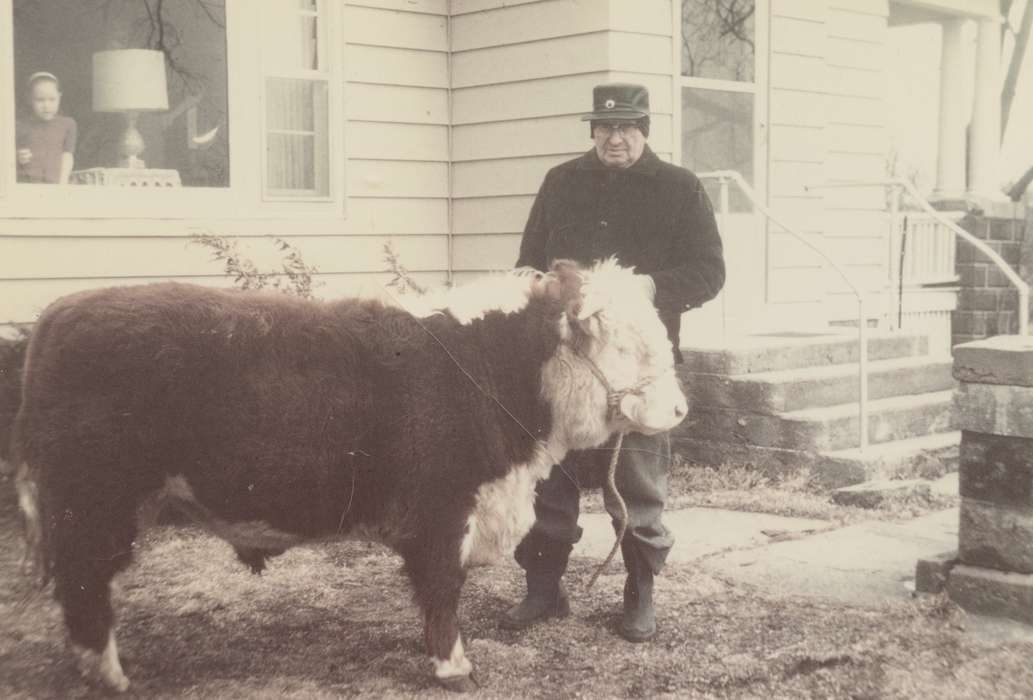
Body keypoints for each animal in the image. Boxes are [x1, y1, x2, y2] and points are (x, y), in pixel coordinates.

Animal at [12, 260, 685, 693]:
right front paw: (454, 666)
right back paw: (110, 675)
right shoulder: (442, 513)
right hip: (91, 505)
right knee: (85, 587)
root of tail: (61, 312)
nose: (680, 409)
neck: (491, 364)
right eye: (628, 347)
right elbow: (442, 591)